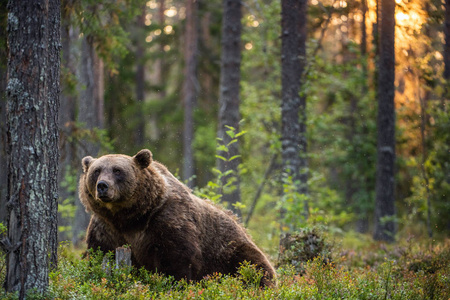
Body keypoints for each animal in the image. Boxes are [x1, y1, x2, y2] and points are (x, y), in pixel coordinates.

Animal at [79, 149, 276, 288]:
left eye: (117, 170)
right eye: (96, 170)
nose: (102, 186)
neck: (132, 217)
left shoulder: (166, 219)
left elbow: (177, 258)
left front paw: (173, 284)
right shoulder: (106, 227)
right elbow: (99, 253)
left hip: (231, 250)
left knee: (255, 268)